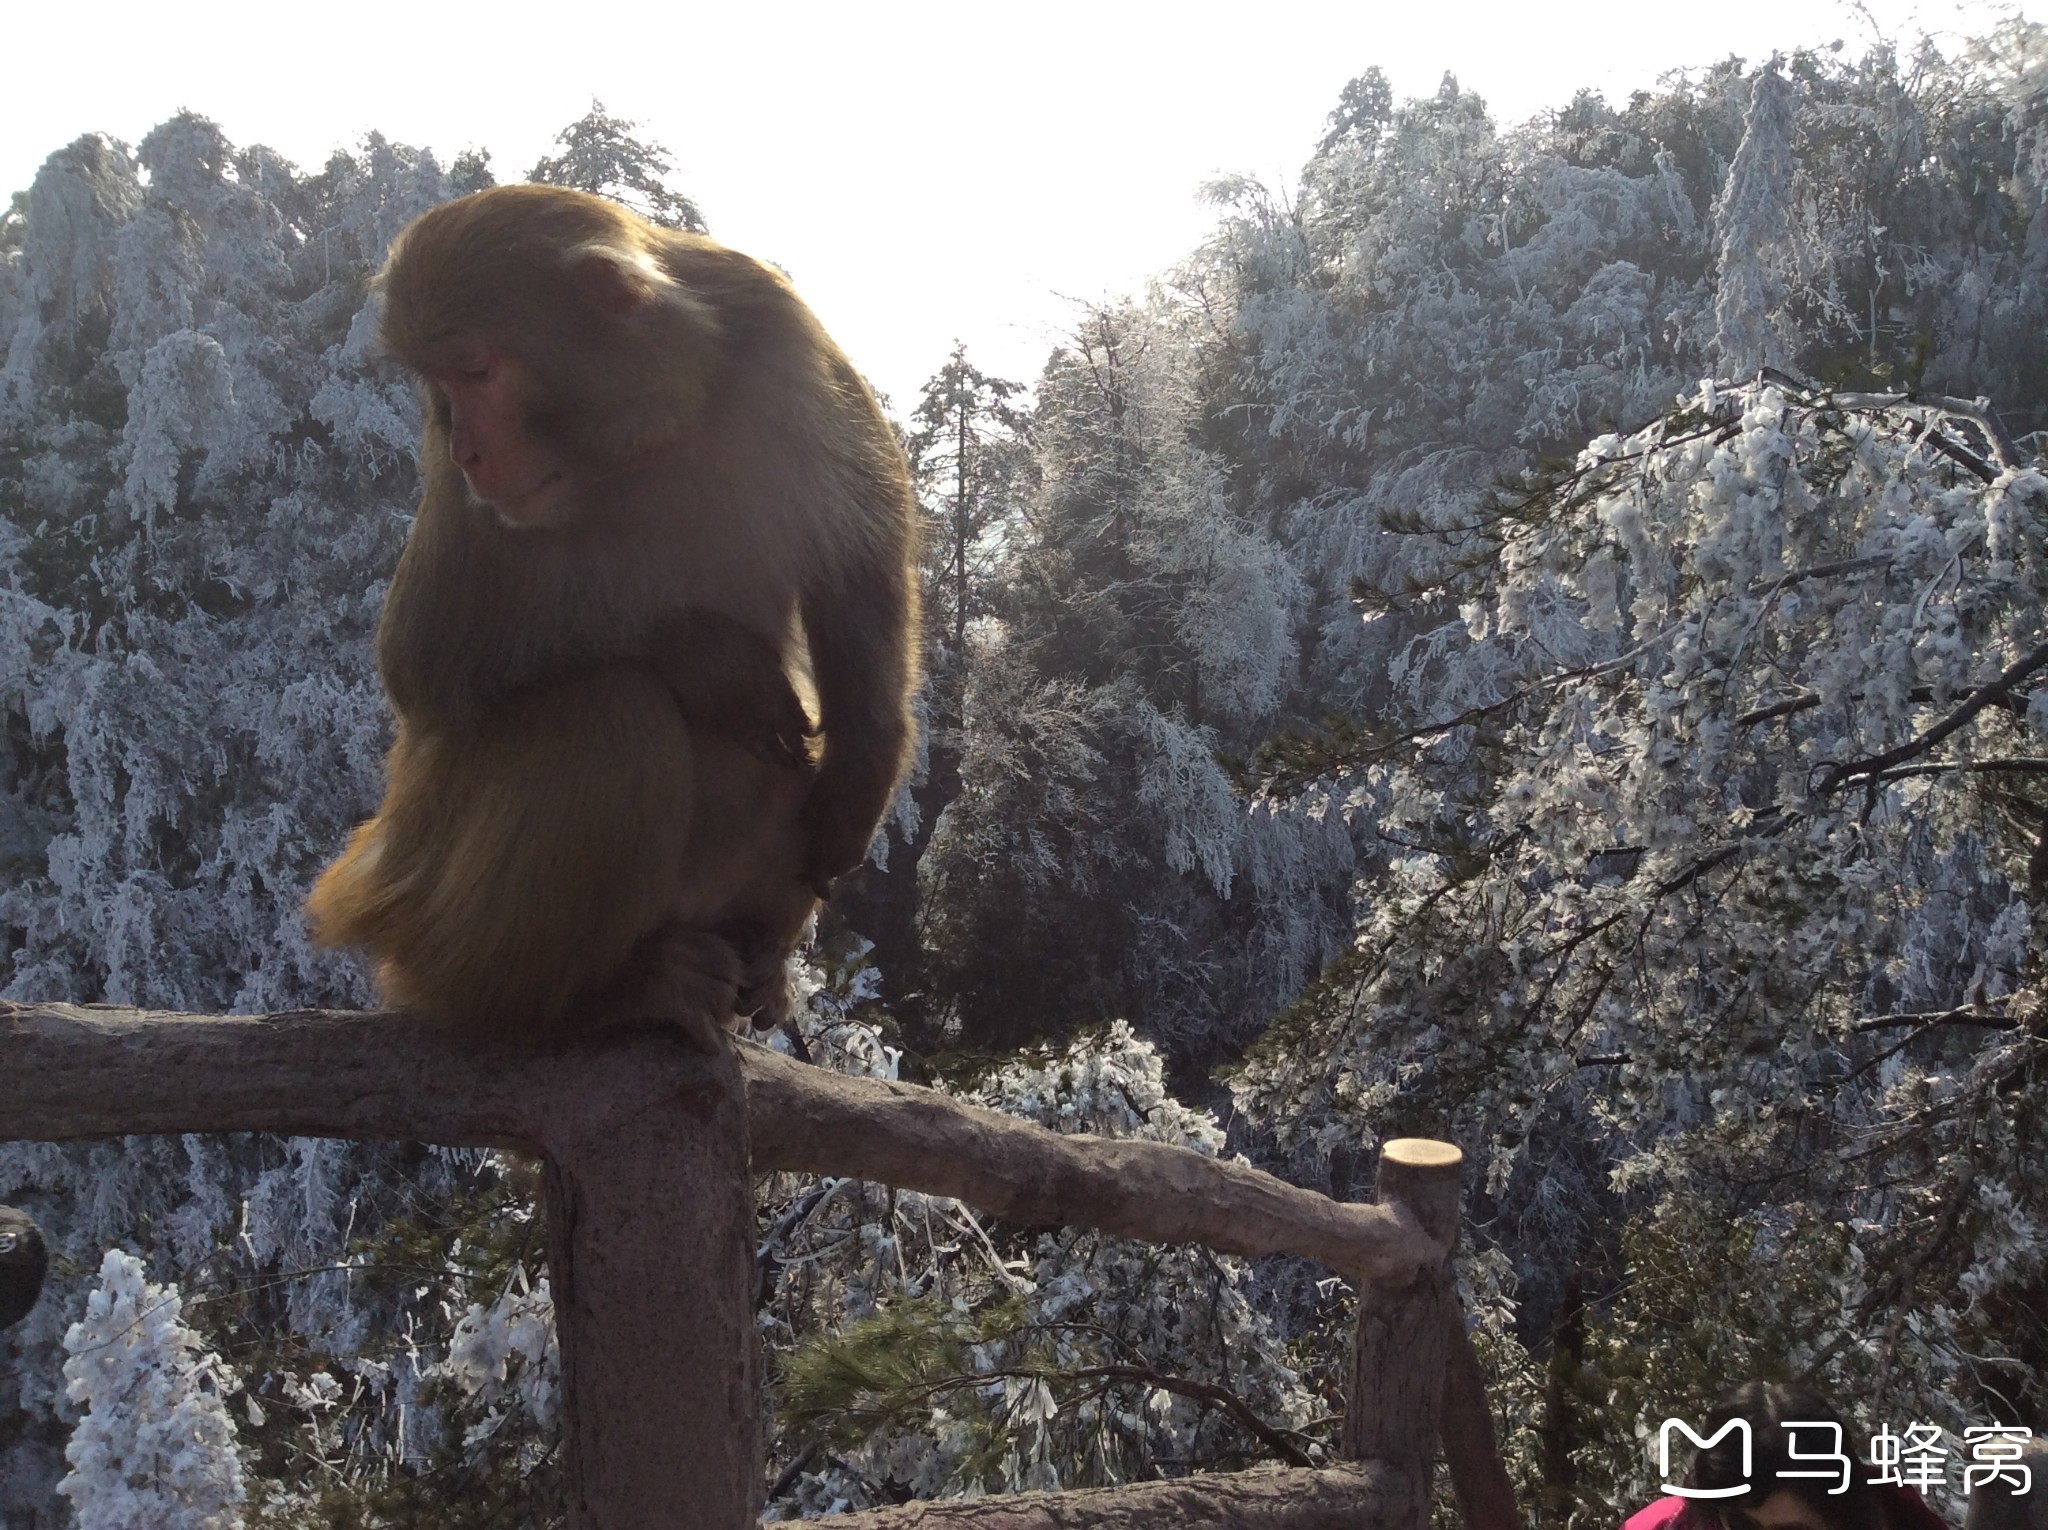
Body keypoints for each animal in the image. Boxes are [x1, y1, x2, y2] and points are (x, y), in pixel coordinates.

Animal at [303, 185, 913, 1048]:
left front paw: (867, 753)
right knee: (611, 717)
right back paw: (579, 1000)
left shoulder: (782, 336)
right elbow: (424, 657)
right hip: (424, 903)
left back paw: (758, 959)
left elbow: (857, 547)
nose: (467, 453)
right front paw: (705, 658)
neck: (646, 441)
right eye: (441, 386)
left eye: (475, 370)